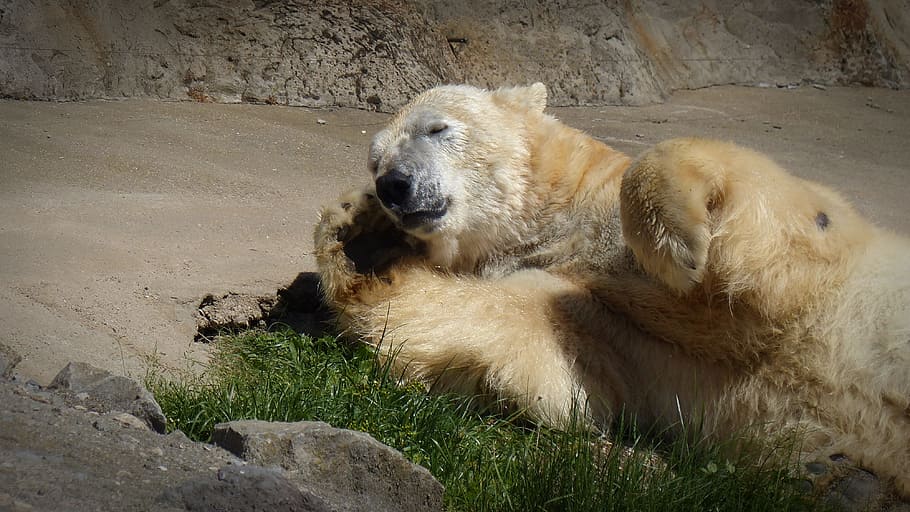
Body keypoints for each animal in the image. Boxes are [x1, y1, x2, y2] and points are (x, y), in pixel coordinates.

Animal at [313, 83, 910, 496]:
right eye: (375, 160)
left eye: (437, 128)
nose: (392, 185)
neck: (562, 218)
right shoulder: (588, 309)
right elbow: (529, 353)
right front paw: (356, 233)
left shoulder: (825, 245)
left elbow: (769, 203)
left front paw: (682, 246)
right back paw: (840, 478)